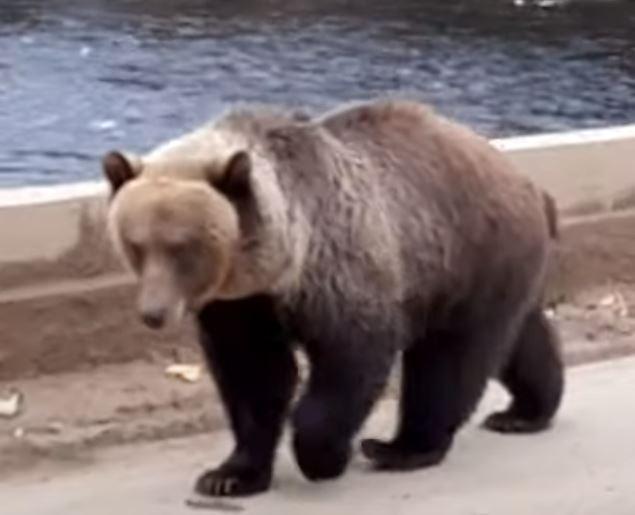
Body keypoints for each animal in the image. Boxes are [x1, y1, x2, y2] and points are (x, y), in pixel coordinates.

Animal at [102, 99, 564, 498]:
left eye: (182, 247)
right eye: (136, 244)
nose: (154, 313)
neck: (275, 263)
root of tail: (528, 183)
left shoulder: (337, 264)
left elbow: (351, 357)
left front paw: (322, 457)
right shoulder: (242, 304)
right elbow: (253, 373)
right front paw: (229, 475)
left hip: (469, 252)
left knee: (449, 360)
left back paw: (401, 447)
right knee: (517, 338)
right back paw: (526, 411)